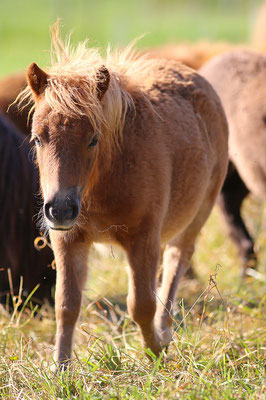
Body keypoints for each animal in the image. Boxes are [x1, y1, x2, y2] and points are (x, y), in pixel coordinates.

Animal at [20, 30, 229, 368]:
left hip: (198, 213)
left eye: (93, 139)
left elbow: (141, 304)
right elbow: (66, 304)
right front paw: (60, 369)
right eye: (37, 138)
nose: (61, 209)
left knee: (177, 260)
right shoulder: (68, 238)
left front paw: (155, 352)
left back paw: (165, 331)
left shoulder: (143, 238)